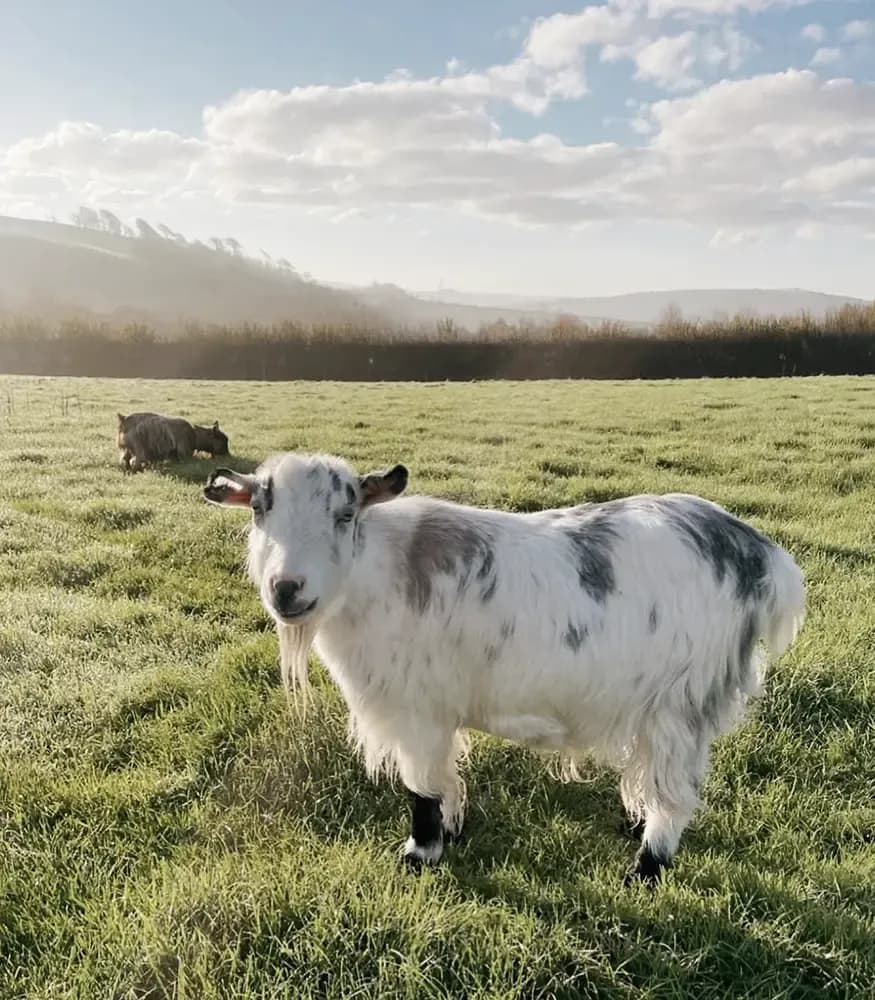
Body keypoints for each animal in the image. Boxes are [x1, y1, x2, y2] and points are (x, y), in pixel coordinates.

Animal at [203, 453, 805, 884]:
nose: (287, 588)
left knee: (674, 797)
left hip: (681, 706)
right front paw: (450, 832)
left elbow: (421, 786)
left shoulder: (418, 712)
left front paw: (420, 854)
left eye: (344, 514)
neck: (378, 573)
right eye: (259, 510)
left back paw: (645, 869)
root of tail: (760, 554)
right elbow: (445, 779)